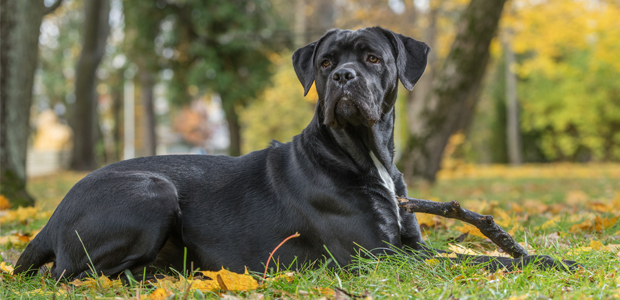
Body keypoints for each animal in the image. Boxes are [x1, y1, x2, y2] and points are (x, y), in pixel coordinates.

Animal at [14, 27, 572, 280]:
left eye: (373, 58)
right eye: (325, 62)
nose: (343, 76)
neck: (364, 154)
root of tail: (51, 216)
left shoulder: (408, 242)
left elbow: (469, 251)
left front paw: (537, 253)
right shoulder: (380, 255)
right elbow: (476, 259)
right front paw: (551, 259)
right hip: (153, 193)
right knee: (69, 274)